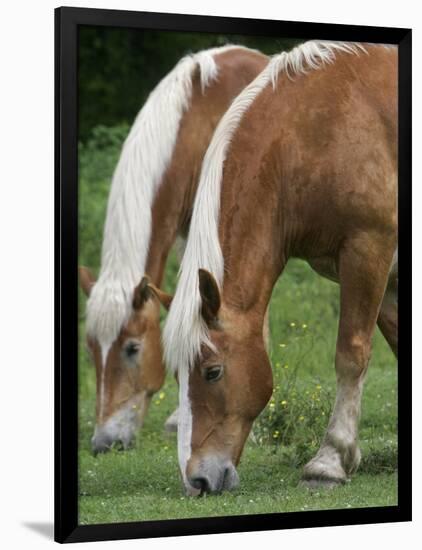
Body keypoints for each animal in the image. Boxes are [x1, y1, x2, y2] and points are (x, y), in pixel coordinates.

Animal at [159, 38, 398, 496]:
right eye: (177, 375)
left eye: (213, 372)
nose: (197, 479)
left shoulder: (369, 250)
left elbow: (351, 354)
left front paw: (330, 460)